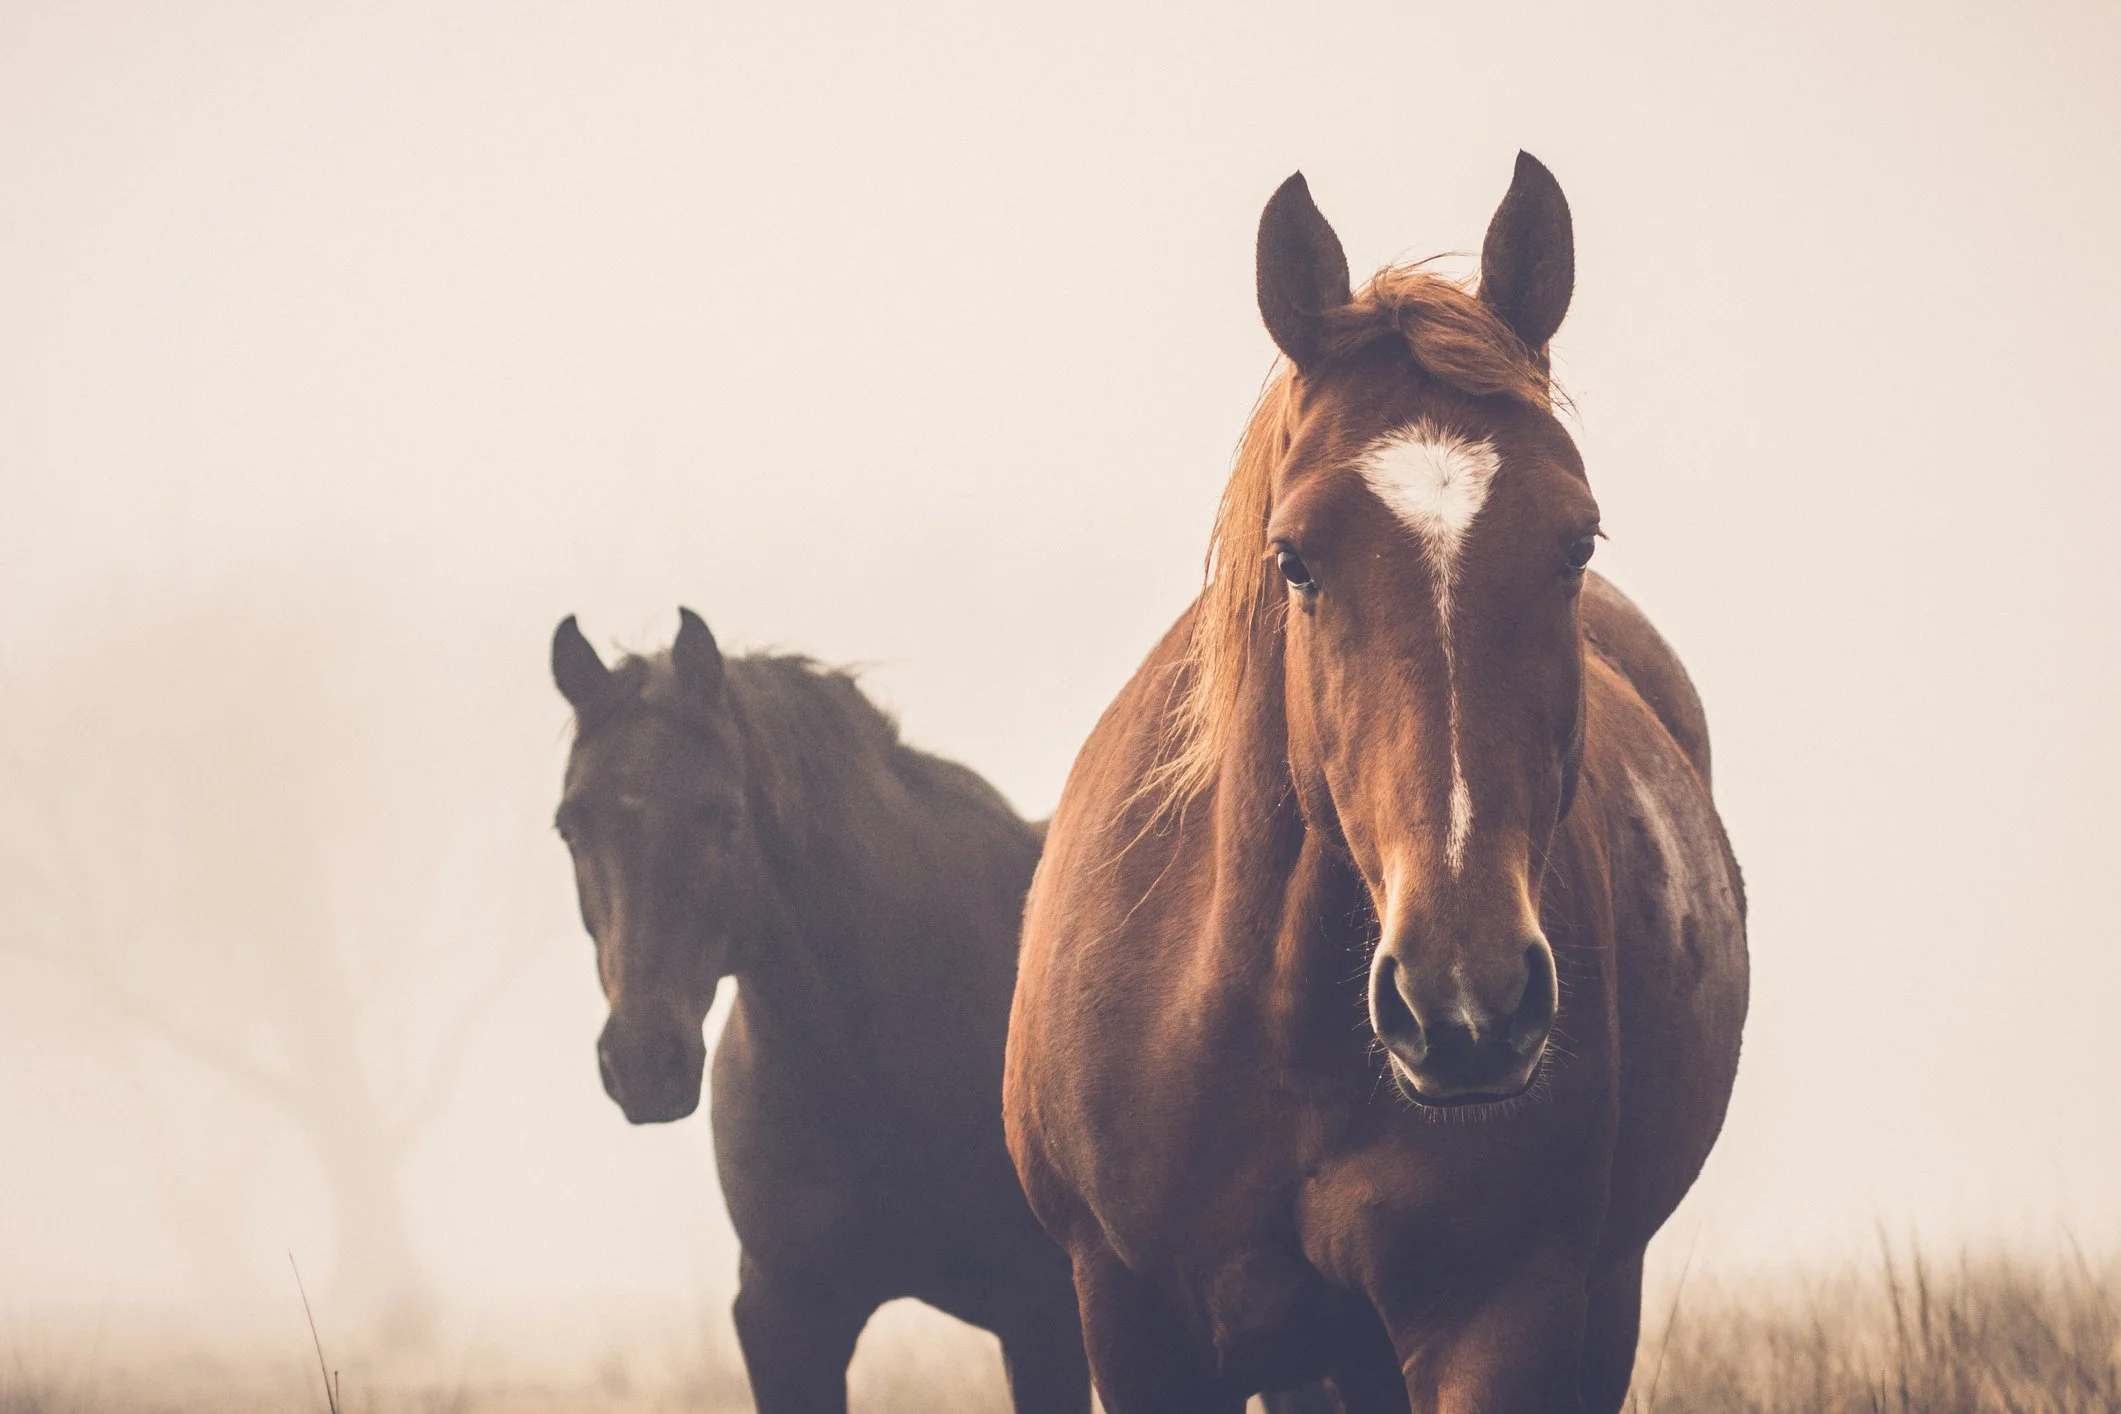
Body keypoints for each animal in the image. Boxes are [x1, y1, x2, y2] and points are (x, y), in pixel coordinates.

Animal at [1003, 153, 1748, 1413]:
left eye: (1576, 543)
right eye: (1296, 559)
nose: (1466, 1001)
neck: (1269, 1023)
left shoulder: (1501, 1318)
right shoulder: (1132, 1319)